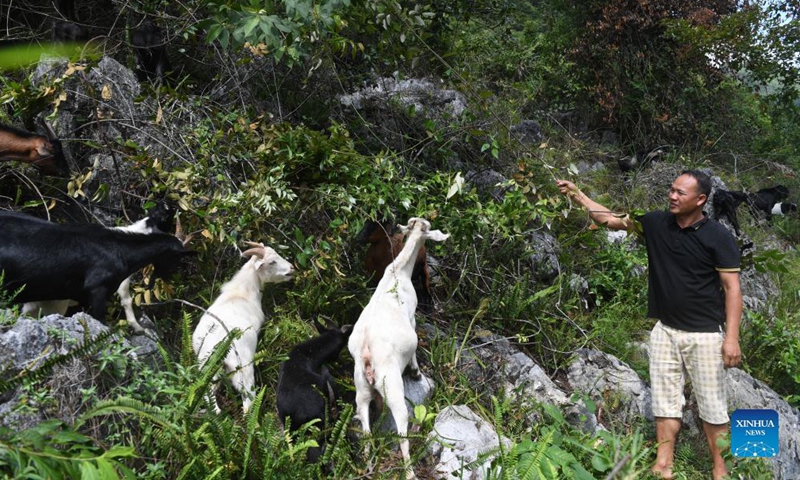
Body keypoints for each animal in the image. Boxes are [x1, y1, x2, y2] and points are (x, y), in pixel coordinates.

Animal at [192, 241, 295, 413]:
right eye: (272, 262)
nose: (291, 268)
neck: (242, 292)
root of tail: (218, 353)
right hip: (243, 371)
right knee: (248, 403)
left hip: (207, 373)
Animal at [349, 217, 449, 480]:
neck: (399, 271)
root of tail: (367, 352)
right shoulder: (412, 319)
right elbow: (414, 345)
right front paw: (416, 373)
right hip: (392, 387)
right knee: (402, 429)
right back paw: (410, 471)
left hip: (361, 388)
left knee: (366, 428)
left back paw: (368, 464)